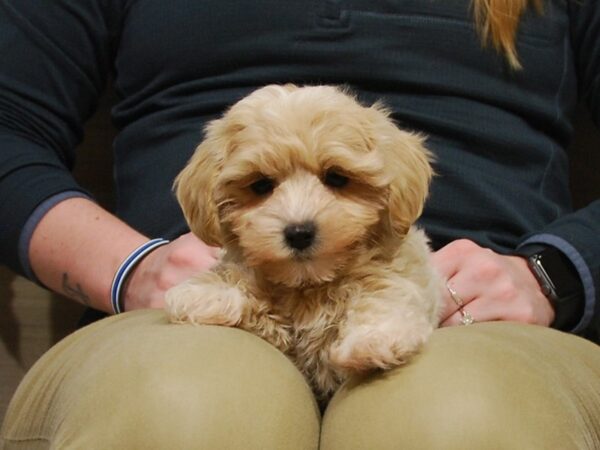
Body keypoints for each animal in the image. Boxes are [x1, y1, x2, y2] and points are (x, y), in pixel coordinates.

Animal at [166, 84, 442, 404]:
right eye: (261, 185)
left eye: (336, 177)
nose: (298, 233)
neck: (309, 285)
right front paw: (205, 295)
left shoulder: (396, 272)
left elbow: (384, 295)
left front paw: (372, 340)